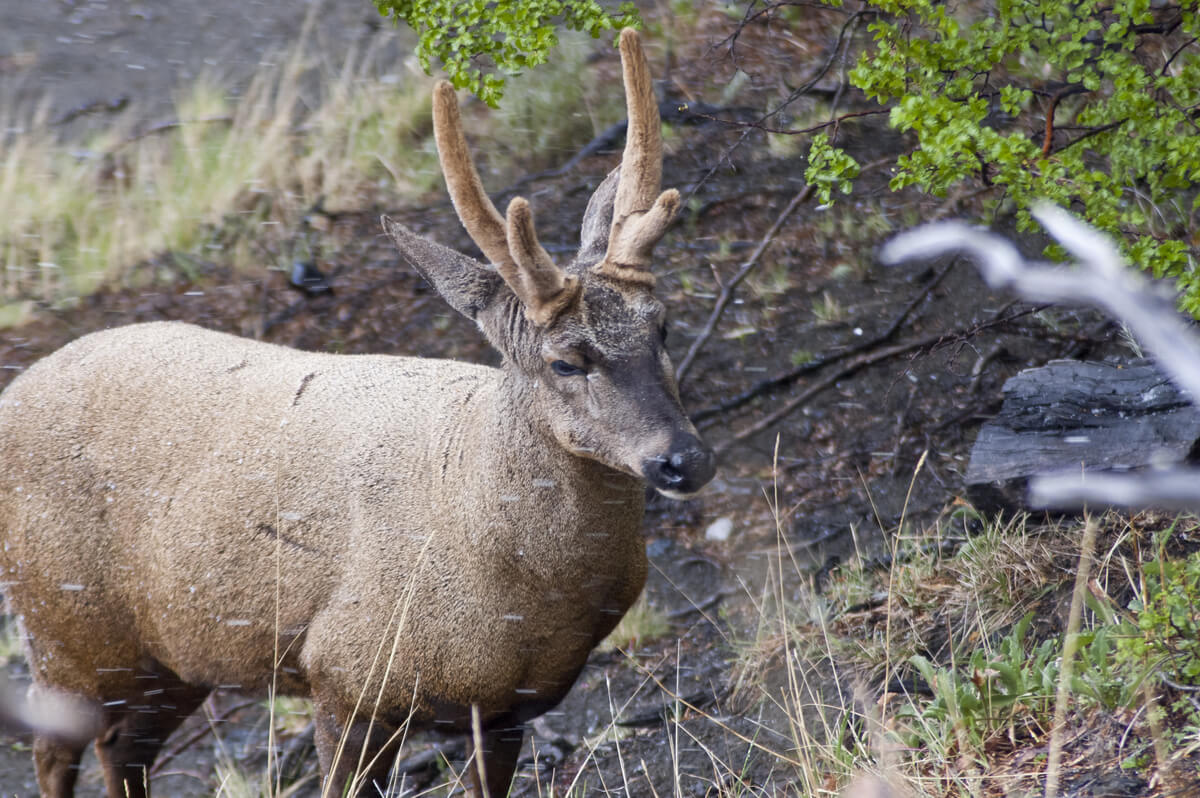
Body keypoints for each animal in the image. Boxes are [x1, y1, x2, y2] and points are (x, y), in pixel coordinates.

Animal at [0, 28, 713, 798]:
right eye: (565, 362)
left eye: (664, 325)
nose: (684, 459)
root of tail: (15, 390)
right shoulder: (347, 673)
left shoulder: (505, 707)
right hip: (63, 624)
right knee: (55, 748)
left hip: (171, 651)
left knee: (123, 747)